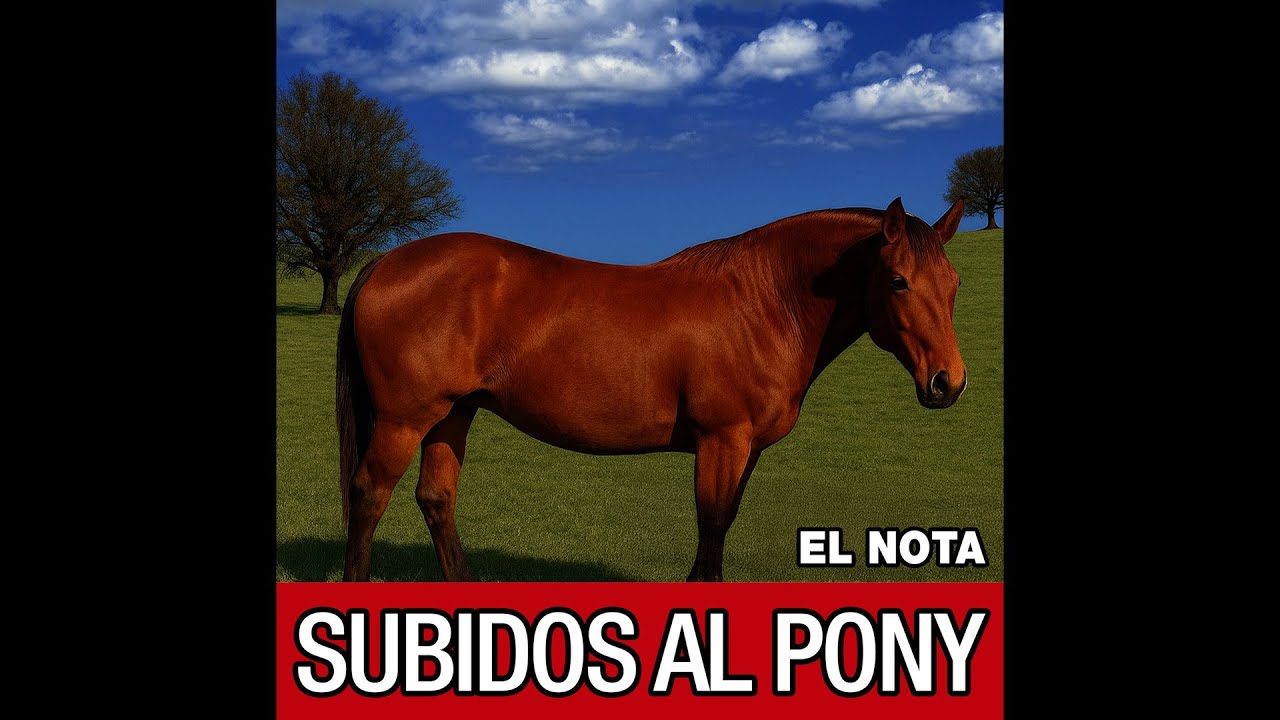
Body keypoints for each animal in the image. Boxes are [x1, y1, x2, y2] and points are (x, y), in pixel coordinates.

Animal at [336, 197, 968, 582]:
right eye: (897, 281)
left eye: (955, 282)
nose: (948, 382)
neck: (761, 302)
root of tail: (384, 262)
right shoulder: (721, 441)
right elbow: (711, 527)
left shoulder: (745, 450)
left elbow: (722, 525)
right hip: (405, 419)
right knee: (369, 494)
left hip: (452, 414)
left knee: (436, 498)